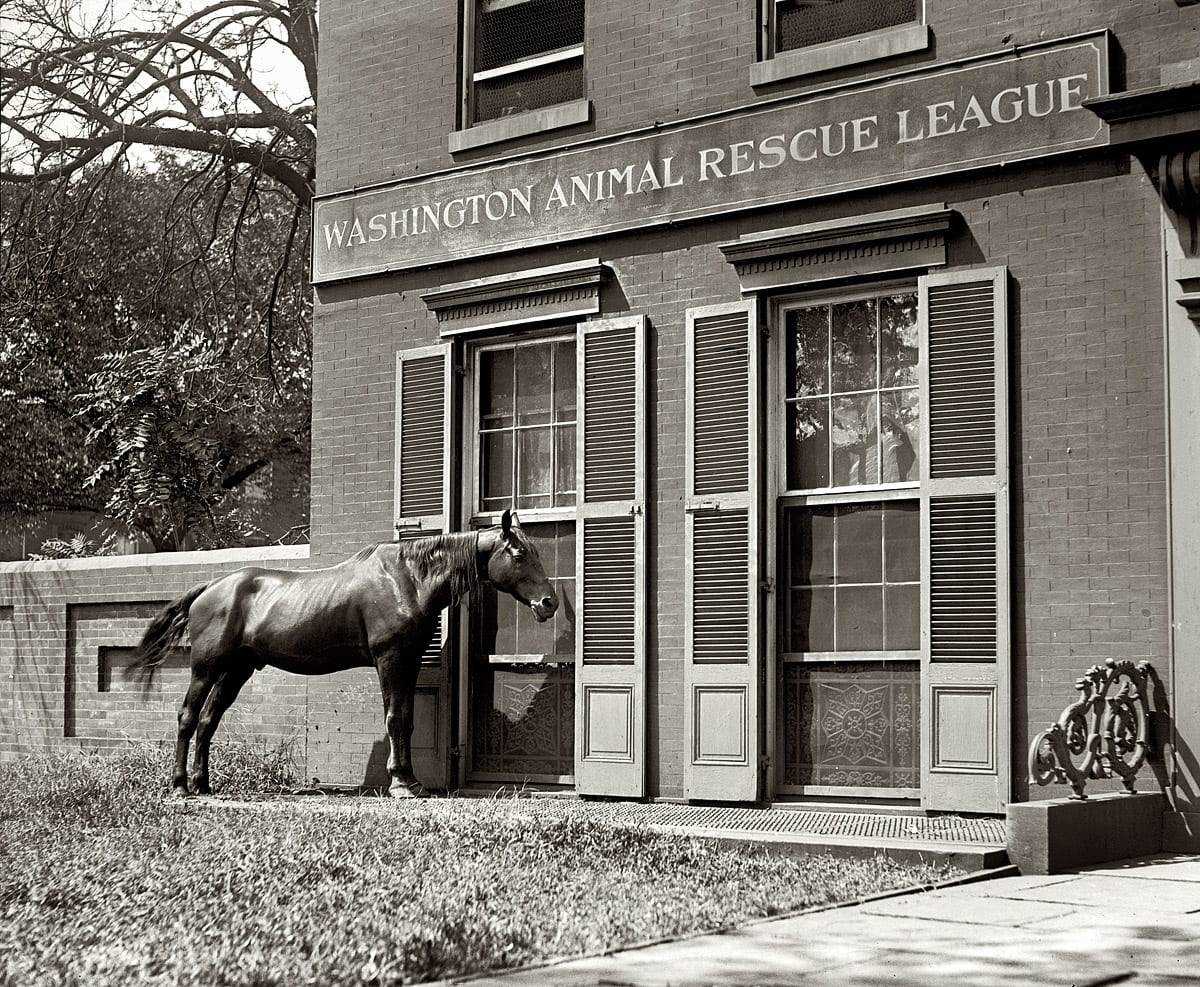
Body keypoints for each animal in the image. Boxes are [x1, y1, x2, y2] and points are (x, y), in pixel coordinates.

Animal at [129, 513, 559, 802]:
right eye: (518, 553)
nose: (548, 603)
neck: (408, 578)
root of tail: (210, 587)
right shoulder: (390, 659)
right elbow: (395, 718)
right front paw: (401, 784)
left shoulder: (409, 662)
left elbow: (406, 719)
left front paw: (411, 780)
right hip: (206, 668)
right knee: (188, 717)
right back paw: (180, 786)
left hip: (237, 670)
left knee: (208, 721)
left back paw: (203, 784)